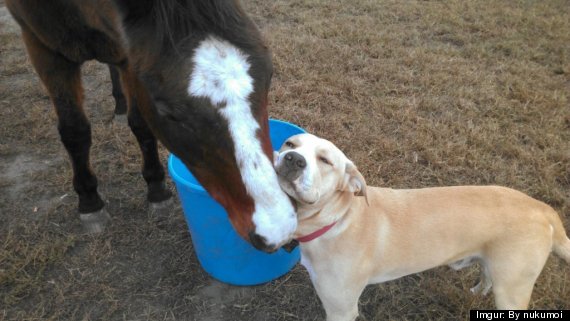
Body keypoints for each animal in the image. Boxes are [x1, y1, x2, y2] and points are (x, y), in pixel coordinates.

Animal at [5, 0, 298, 251]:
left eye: (269, 78)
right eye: (169, 112)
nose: (278, 227)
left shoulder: (128, 57)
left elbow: (141, 126)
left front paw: (156, 190)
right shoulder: (43, 48)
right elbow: (75, 131)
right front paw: (89, 201)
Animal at [272, 132, 564, 320]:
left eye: (325, 161)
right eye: (289, 143)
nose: (293, 159)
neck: (336, 220)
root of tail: (543, 208)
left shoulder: (341, 309)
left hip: (512, 293)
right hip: (496, 268)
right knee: (487, 277)